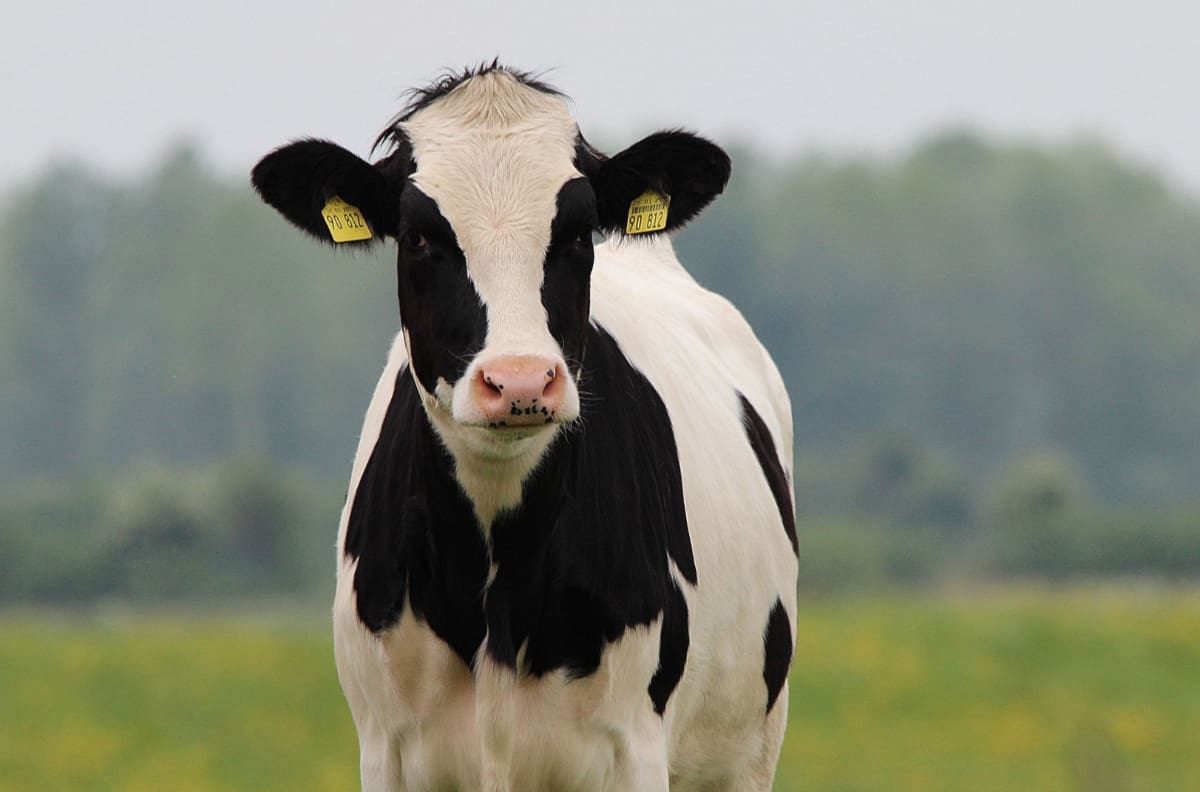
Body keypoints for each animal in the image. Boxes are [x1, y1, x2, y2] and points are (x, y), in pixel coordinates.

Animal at [251, 62, 797, 792]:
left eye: (577, 233)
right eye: (419, 236)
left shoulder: (636, 746)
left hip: (747, 754)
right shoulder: (384, 749)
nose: (519, 381)